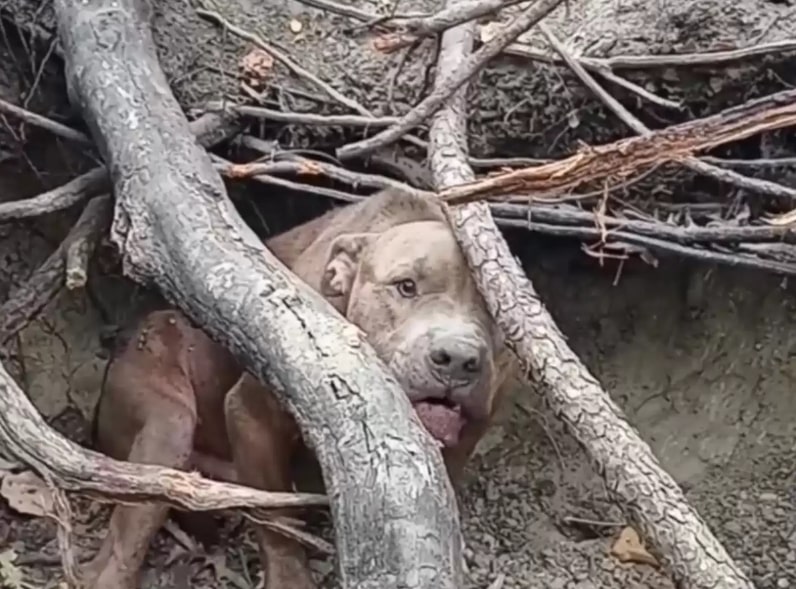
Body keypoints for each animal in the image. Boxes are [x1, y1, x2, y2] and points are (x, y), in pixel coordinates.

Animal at [85, 189, 516, 588]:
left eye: (495, 317)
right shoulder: (251, 415)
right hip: (166, 421)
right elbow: (278, 522)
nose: (458, 358)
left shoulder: (469, 435)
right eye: (405, 286)